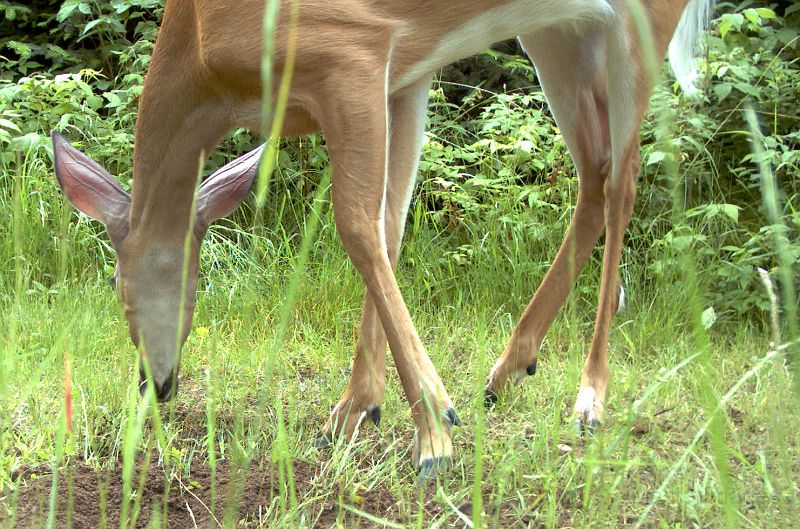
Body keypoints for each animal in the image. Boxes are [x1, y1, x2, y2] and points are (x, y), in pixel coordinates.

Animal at [51, 0, 712, 478]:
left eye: (118, 284)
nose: (155, 385)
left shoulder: (349, 52)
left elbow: (355, 226)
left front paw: (434, 434)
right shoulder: (405, 70)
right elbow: (388, 224)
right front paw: (355, 411)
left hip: (639, 24)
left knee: (626, 179)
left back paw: (589, 399)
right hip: (562, 33)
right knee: (596, 177)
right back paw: (506, 370)